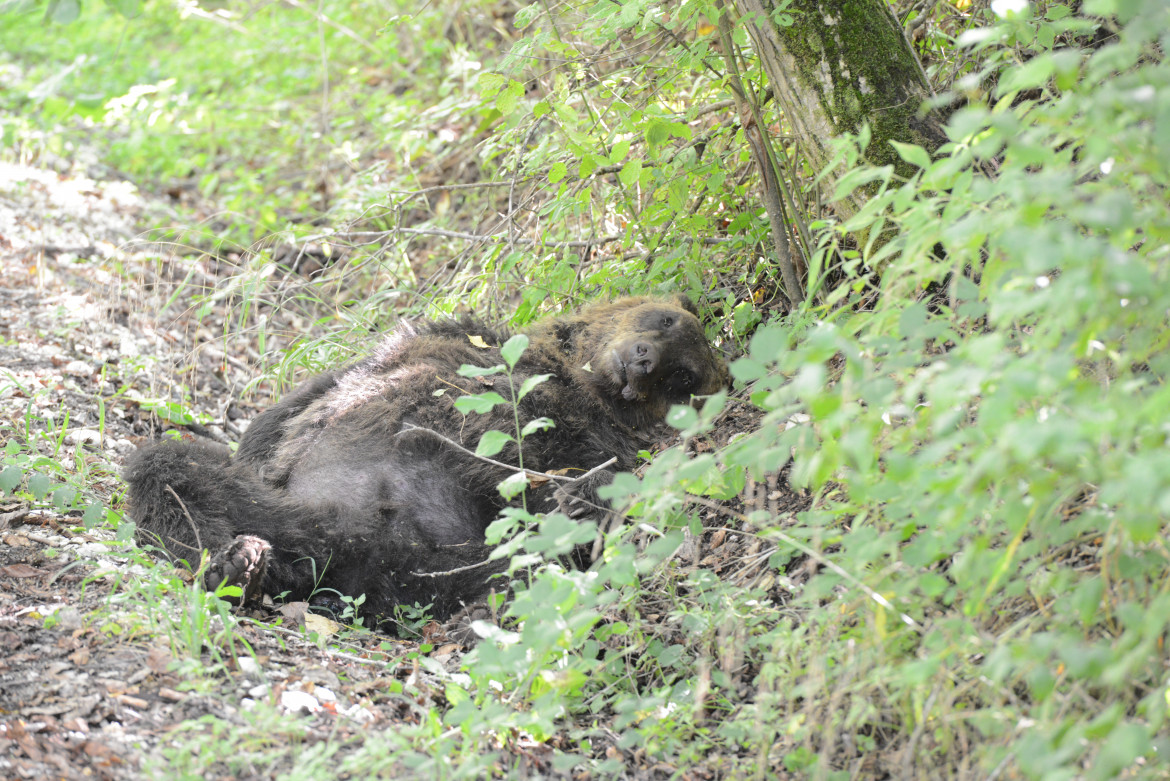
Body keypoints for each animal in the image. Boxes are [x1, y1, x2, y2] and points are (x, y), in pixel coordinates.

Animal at [128, 294, 730, 626]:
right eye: (666, 322)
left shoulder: (594, 437)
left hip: (426, 564)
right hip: (291, 517)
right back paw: (238, 563)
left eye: (683, 378)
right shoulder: (449, 339)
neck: (573, 376)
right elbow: (299, 404)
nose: (644, 362)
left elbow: (583, 482)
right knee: (171, 470)